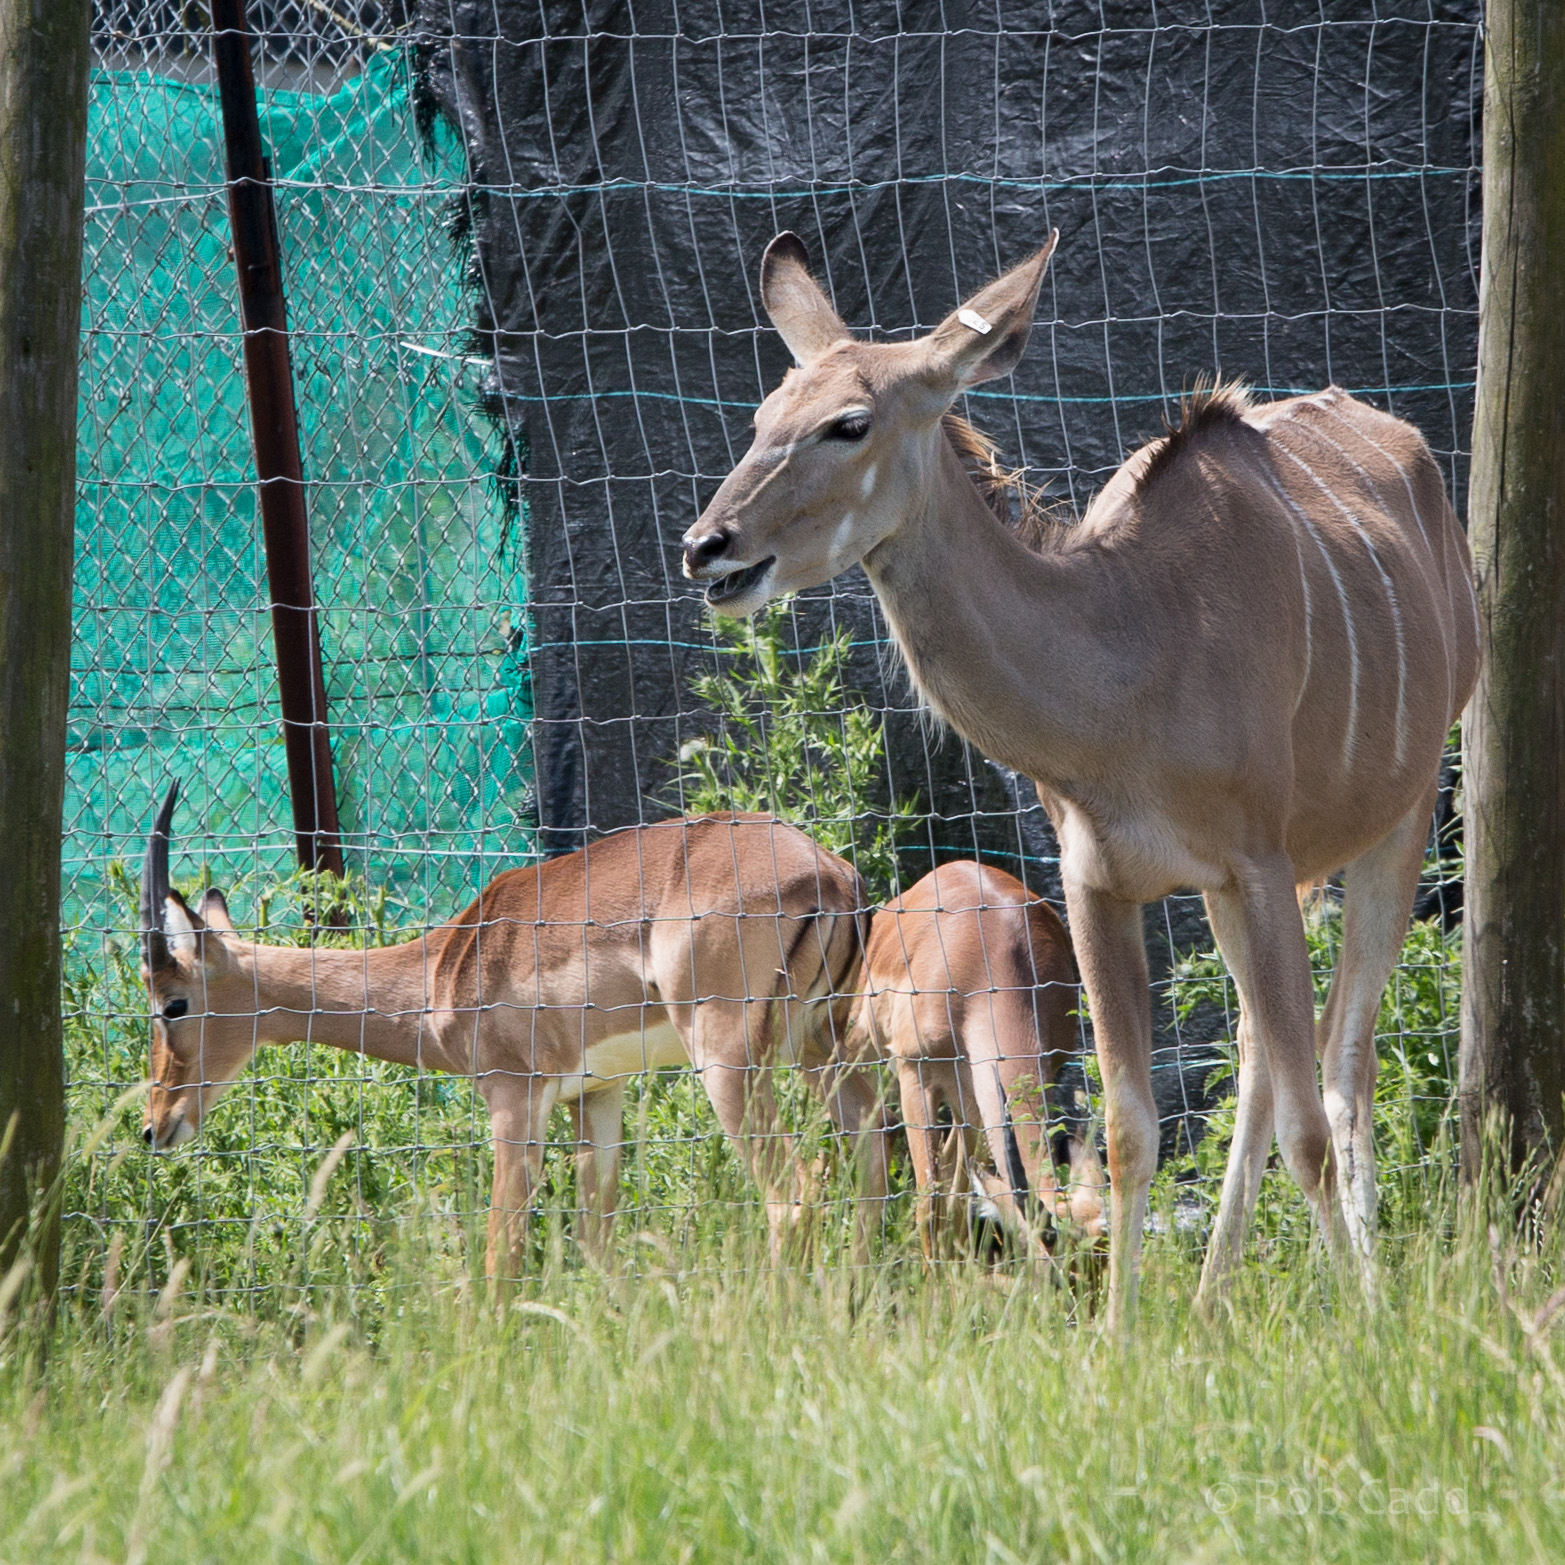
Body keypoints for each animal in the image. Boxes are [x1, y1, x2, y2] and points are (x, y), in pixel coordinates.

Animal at [139, 785, 886, 1279]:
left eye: (171, 1002)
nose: (153, 1125)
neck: (443, 970)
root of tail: (831, 874)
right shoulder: (598, 1094)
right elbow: (596, 1240)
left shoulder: (513, 1099)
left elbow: (502, 1251)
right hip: (823, 1050)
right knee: (874, 1172)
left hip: (729, 1060)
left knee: (793, 1195)